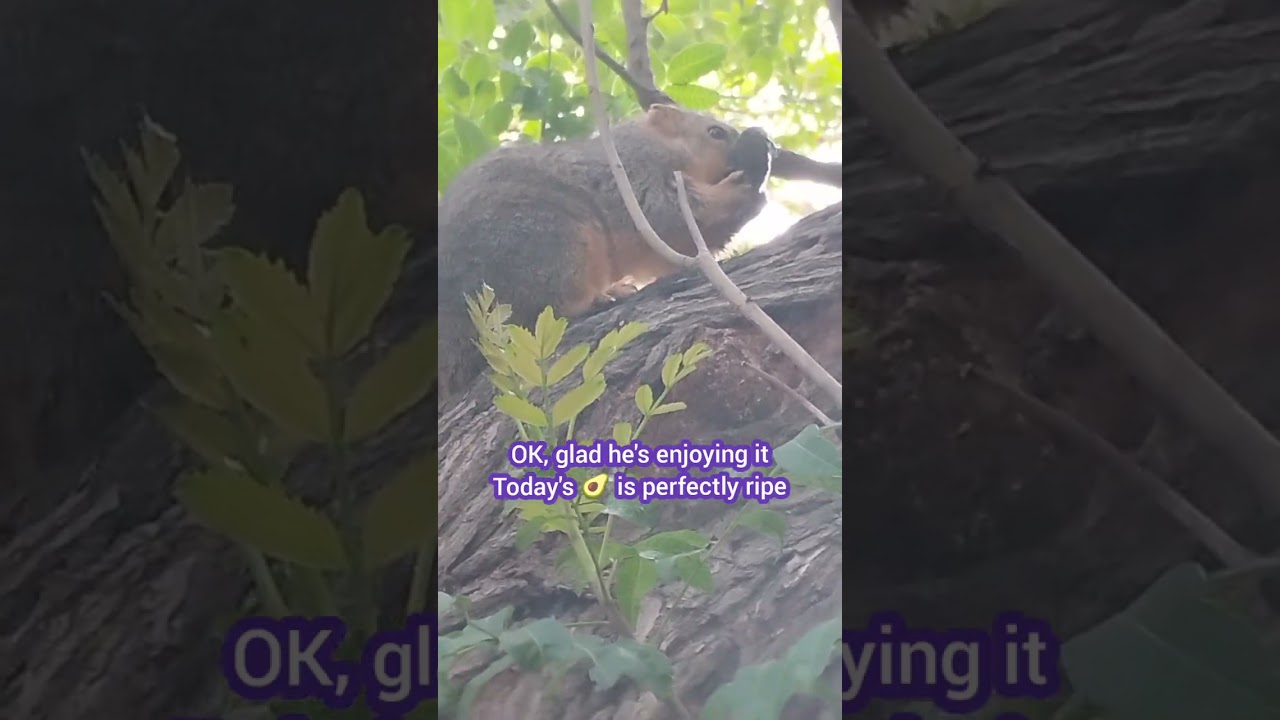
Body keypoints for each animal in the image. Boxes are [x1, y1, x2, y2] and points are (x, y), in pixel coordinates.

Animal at [437, 104, 776, 407]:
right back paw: (599, 298)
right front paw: (743, 186)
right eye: (715, 133)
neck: (656, 144)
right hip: (550, 245)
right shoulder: (636, 175)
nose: (766, 142)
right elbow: (673, 213)